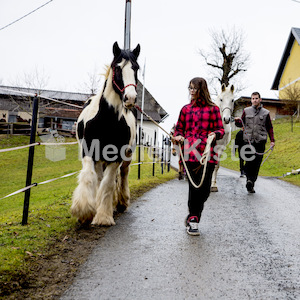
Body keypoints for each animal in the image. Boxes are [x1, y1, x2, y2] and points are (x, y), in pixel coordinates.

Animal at [71, 41, 140, 225]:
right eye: (117, 67)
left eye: (136, 68)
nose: (130, 98)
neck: (106, 120)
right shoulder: (89, 152)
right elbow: (89, 177)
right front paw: (84, 211)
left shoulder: (116, 156)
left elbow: (109, 183)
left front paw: (103, 216)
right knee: (99, 177)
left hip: (126, 155)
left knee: (122, 174)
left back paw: (121, 202)